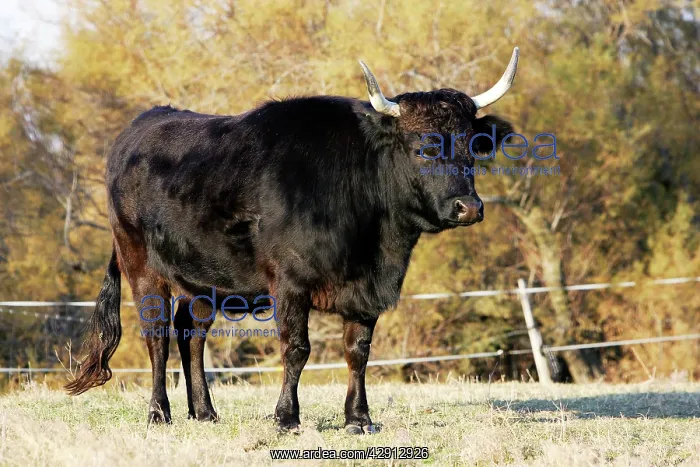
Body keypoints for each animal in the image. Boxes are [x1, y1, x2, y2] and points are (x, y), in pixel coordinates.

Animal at [65, 48, 519, 434]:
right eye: (423, 148)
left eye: (472, 147)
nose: (469, 207)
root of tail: (139, 128)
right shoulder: (290, 283)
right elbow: (297, 348)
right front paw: (287, 418)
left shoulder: (366, 291)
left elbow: (358, 351)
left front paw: (359, 419)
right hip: (141, 264)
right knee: (156, 335)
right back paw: (159, 414)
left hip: (203, 279)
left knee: (190, 334)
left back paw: (205, 412)